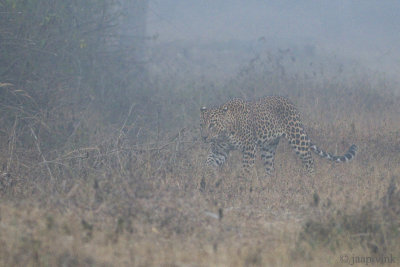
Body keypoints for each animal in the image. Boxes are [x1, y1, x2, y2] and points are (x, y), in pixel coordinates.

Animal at [200, 96, 356, 176]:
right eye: (202, 124)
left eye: (212, 125)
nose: (204, 137)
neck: (223, 134)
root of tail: (290, 102)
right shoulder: (219, 151)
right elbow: (208, 162)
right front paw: (206, 178)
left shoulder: (249, 148)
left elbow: (246, 169)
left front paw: (242, 183)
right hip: (268, 148)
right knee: (270, 167)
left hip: (298, 139)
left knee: (309, 160)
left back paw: (310, 180)